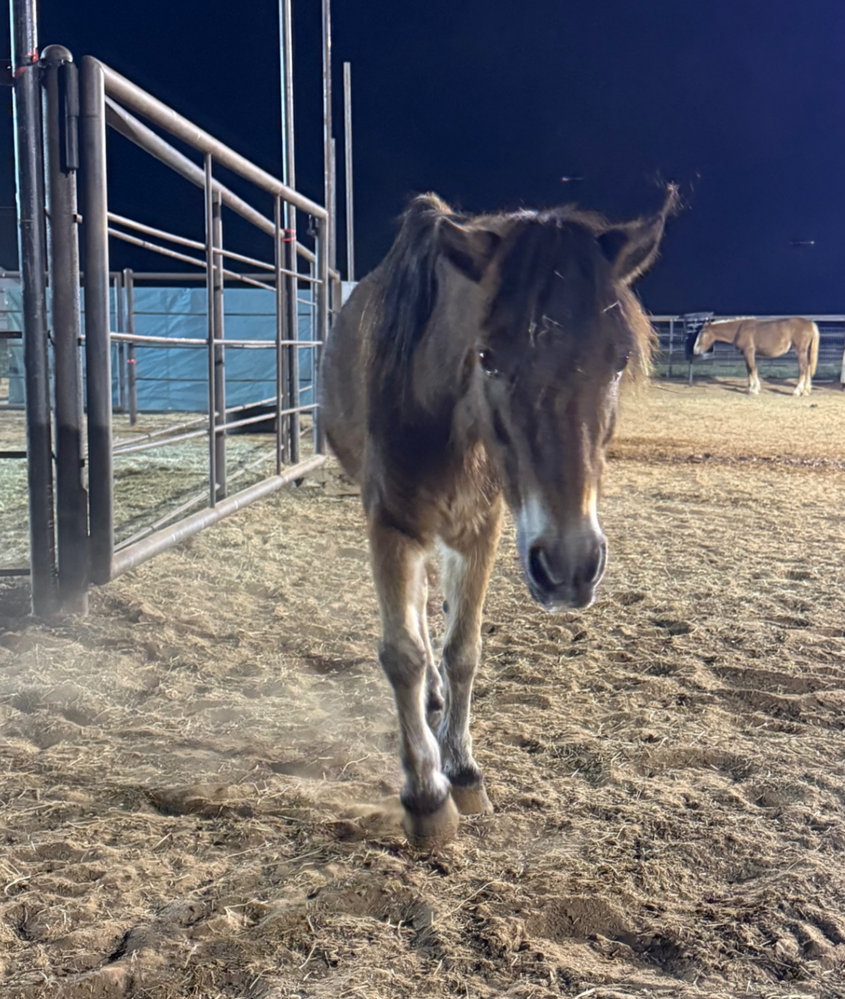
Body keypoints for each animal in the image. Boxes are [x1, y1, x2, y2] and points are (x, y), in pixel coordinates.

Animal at [318, 186, 677, 846]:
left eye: (618, 361)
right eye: (487, 356)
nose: (569, 567)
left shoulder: (479, 529)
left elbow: (463, 648)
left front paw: (461, 770)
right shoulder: (390, 525)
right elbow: (403, 653)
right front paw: (426, 794)